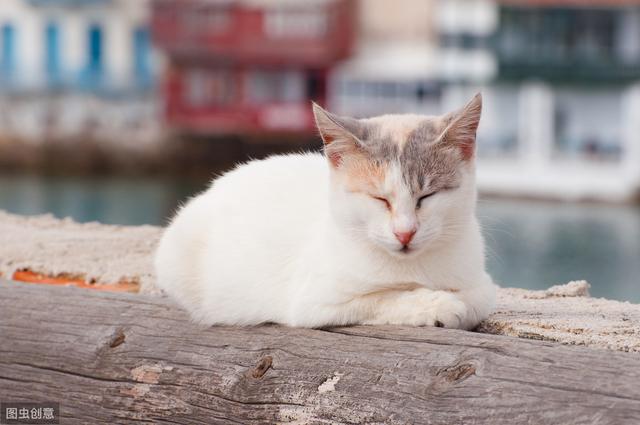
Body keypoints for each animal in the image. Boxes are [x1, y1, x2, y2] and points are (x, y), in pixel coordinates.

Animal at [154, 93, 496, 328]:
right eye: (379, 199)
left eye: (427, 196)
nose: (405, 233)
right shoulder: (316, 301)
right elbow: (383, 299)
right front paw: (436, 304)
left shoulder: (479, 281)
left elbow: (479, 296)